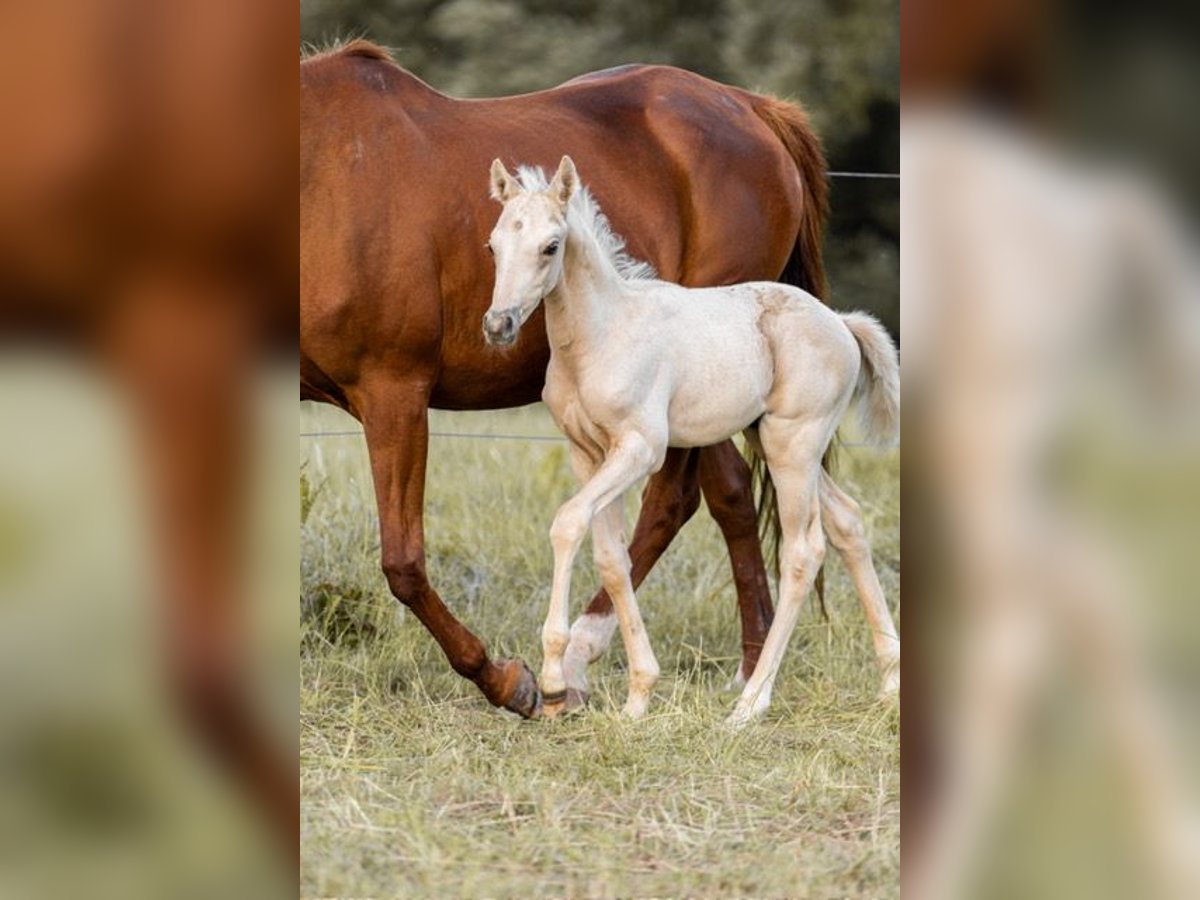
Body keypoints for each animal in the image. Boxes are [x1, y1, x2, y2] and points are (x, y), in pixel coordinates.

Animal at [300, 40, 825, 720]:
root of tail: (755, 109)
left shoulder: (395, 393)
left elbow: (403, 562)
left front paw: (506, 679)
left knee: (674, 500)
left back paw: (584, 655)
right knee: (728, 495)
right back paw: (748, 662)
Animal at [482, 160, 897, 724]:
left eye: (551, 246)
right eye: (493, 245)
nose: (498, 324)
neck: (601, 335)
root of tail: (840, 322)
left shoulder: (640, 449)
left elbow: (568, 523)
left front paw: (551, 683)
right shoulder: (589, 454)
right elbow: (612, 559)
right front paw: (637, 696)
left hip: (793, 445)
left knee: (803, 551)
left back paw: (749, 705)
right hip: (775, 441)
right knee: (848, 521)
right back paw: (890, 680)